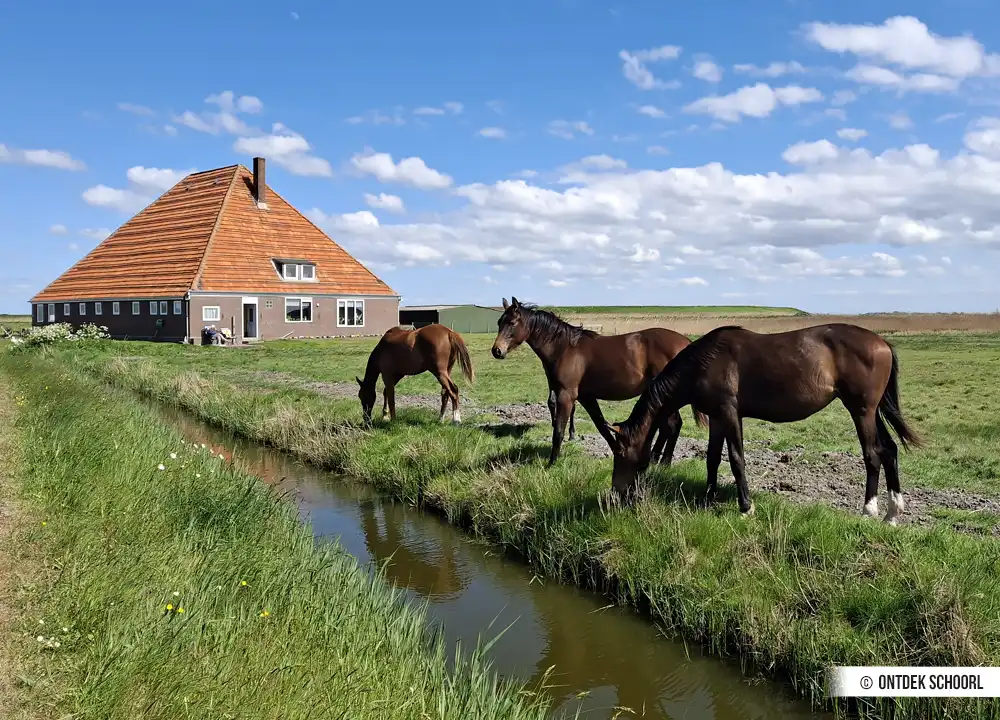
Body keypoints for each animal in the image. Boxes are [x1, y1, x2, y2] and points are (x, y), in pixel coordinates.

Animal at [490, 296, 708, 467]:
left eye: (512, 322)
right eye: (499, 322)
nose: (497, 351)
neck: (565, 348)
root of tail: (687, 343)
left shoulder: (566, 395)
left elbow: (558, 431)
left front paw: (552, 463)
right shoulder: (586, 397)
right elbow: (601, 426)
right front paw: (618, 452)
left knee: (672, 425)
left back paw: (664, 462)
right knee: (668, 425)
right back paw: (655, 459)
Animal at [605, 323, 922, 525]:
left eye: (620, 454)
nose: (615, 494)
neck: (704, 362)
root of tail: (882, 343)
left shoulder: (729, 414)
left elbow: (736, 459)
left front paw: (745, 507)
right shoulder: (718, 418)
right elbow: (712, 458)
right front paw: (708, 498)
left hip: (861, 411)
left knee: (872, 455)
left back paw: (869, 509)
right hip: (872, 411)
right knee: (889, 450)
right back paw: (893, 513)